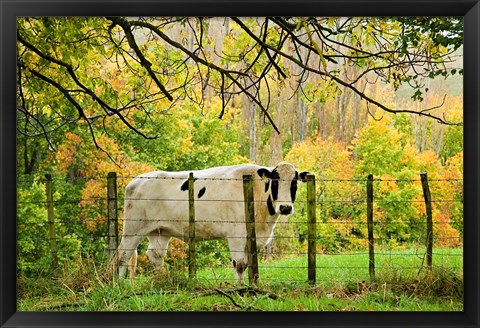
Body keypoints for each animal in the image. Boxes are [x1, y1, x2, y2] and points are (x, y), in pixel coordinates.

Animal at [111, 163, 308, 284]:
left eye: (294, 183)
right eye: (275, 181)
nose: (285, 207)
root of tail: (136, 180)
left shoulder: (250, 238)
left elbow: (249, 265)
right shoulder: (236, 235)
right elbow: (239, 264)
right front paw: (240, 289)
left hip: (160, 230)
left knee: (155, 256)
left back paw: (162, 280)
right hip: (133, 228)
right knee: (122, 255)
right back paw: (119, 285)